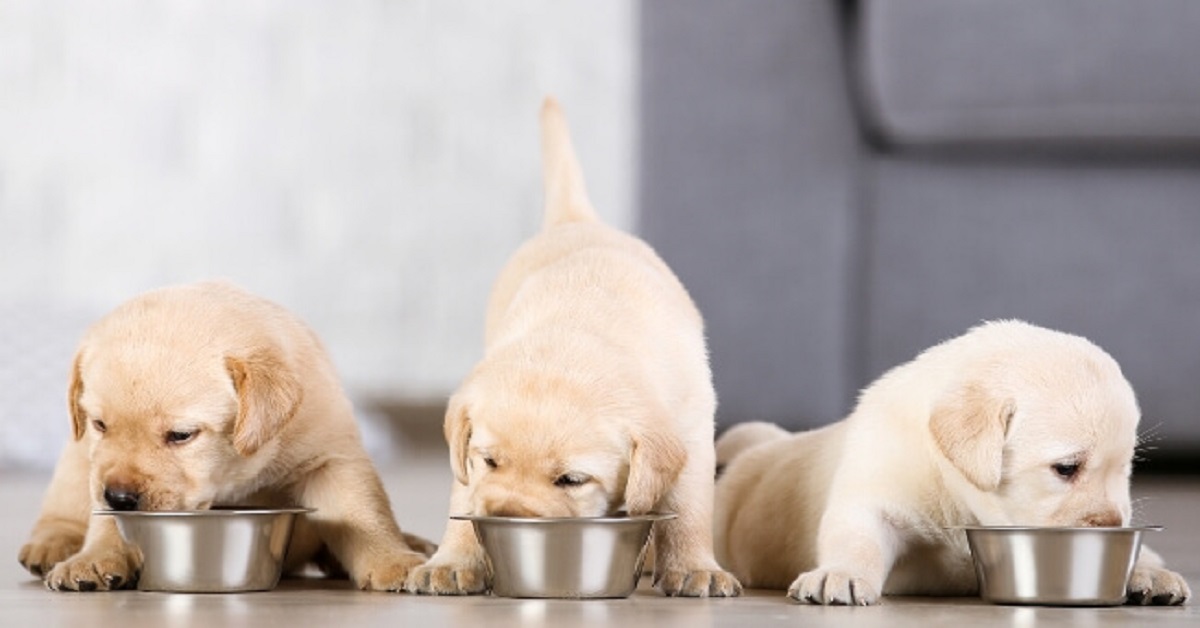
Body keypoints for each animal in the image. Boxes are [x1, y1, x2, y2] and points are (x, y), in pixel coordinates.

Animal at [18, 282, 434, 593]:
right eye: (100, 425)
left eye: (181, 435)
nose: (119, 497)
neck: (236, 473)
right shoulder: (96, 464)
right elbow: (105, 522)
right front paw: (95, 557)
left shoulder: (330, 458)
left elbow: (363, 513)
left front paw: (393, 560)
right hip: (75, 460)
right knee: (62, 510)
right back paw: (51, 544)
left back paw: (412, 542)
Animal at [405, 98, 739, 600]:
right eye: (490, 461)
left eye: (572, 480)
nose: (507, 515)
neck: (579, 333)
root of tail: (578, 220)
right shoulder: (468, 460)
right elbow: (464, 495)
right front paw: (453, 560)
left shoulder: (694, 430)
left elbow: (689, 507)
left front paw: (695, 567)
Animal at [710, 321, 1190, 607]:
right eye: (1066, 468)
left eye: (1126, 469)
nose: (1112, 524)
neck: (960, 497)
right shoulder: (875, 491)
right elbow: (857, 538)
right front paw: (841, 573)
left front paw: (1145, 567)